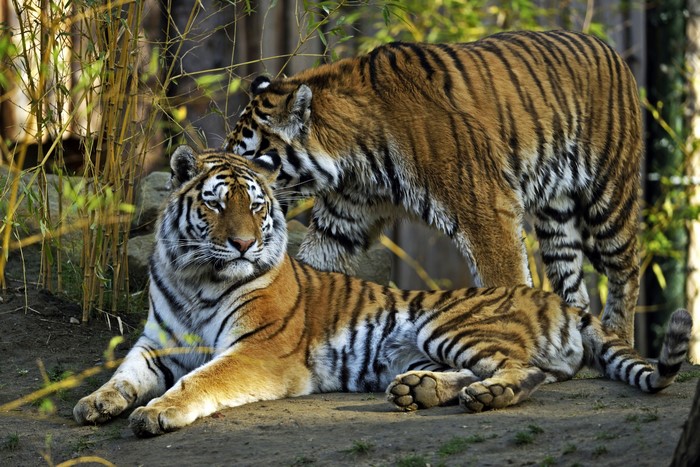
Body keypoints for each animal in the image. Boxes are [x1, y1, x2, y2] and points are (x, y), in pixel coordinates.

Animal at [73, 147, 688, 437]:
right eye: (216, 204)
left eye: (256, 205)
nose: (245, 244)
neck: (194, 277)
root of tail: (555, 300)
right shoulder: (156, 344)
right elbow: (123, 374)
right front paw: (96, 402)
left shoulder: (256, 349)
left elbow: (202, 380)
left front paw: (157, 413)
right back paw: (420, 390)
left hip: (446, 323)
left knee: (527, 371)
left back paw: (481, 397)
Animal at [224, 29, 643, 345]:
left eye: (253, 159)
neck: (352, 159)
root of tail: (610, 49)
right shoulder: (344, 218)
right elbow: (310, 269)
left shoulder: (486, 209)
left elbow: (505, 282)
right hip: (556, 214)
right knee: (573, 280)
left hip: (608, 194)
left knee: (627, 268)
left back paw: (619, 337)